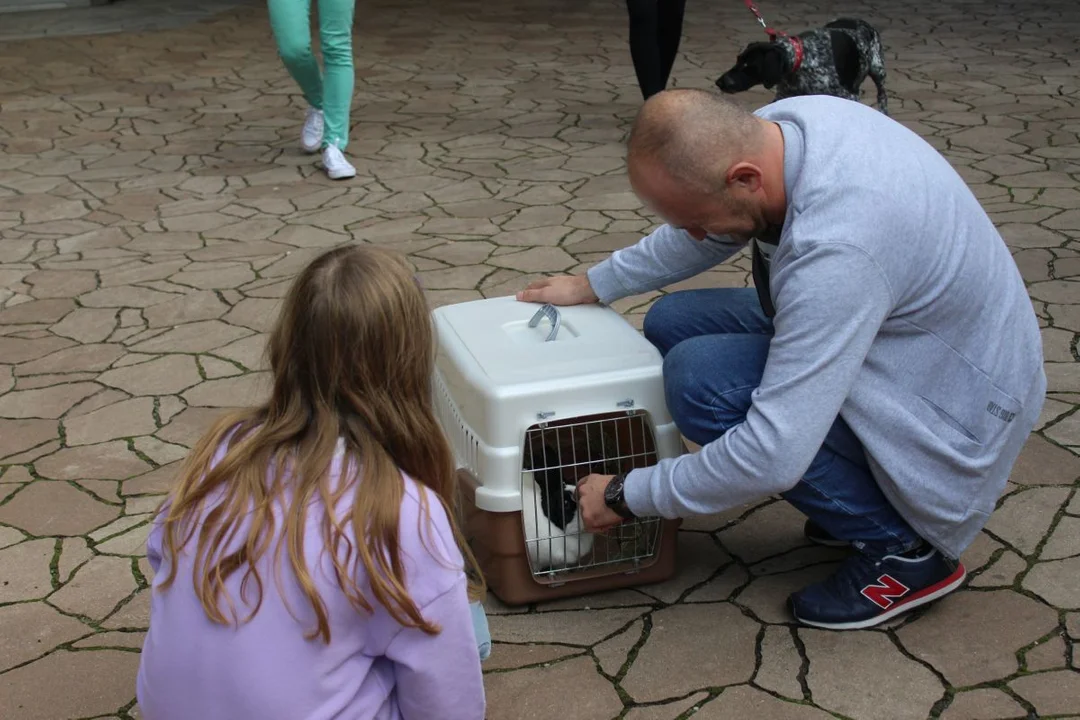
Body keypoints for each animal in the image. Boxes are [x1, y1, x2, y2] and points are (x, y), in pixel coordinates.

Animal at [712, 18, 889, 115]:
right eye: (738, 59)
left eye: (748, 65)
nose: (719, 82)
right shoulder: (783, 96)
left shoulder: (848, 96)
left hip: (877, 69)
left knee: (882, 95)